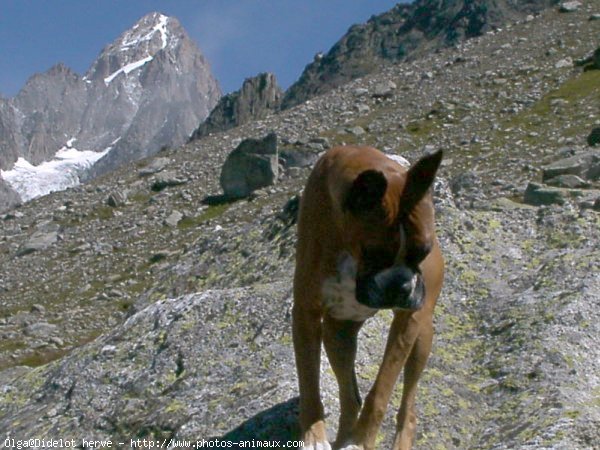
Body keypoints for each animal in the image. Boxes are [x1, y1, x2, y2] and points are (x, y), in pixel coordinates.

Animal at [292, 145, 442, 450]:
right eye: (374, 255)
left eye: (424, 251)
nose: (401, 285)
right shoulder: (305, 314)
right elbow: (309, 381)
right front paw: (313, 436)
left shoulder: (406, 323)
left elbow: (382, 390)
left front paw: (361, 441)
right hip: (337, 335)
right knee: (350, 398)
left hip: (422, 336)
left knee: (408, 408)